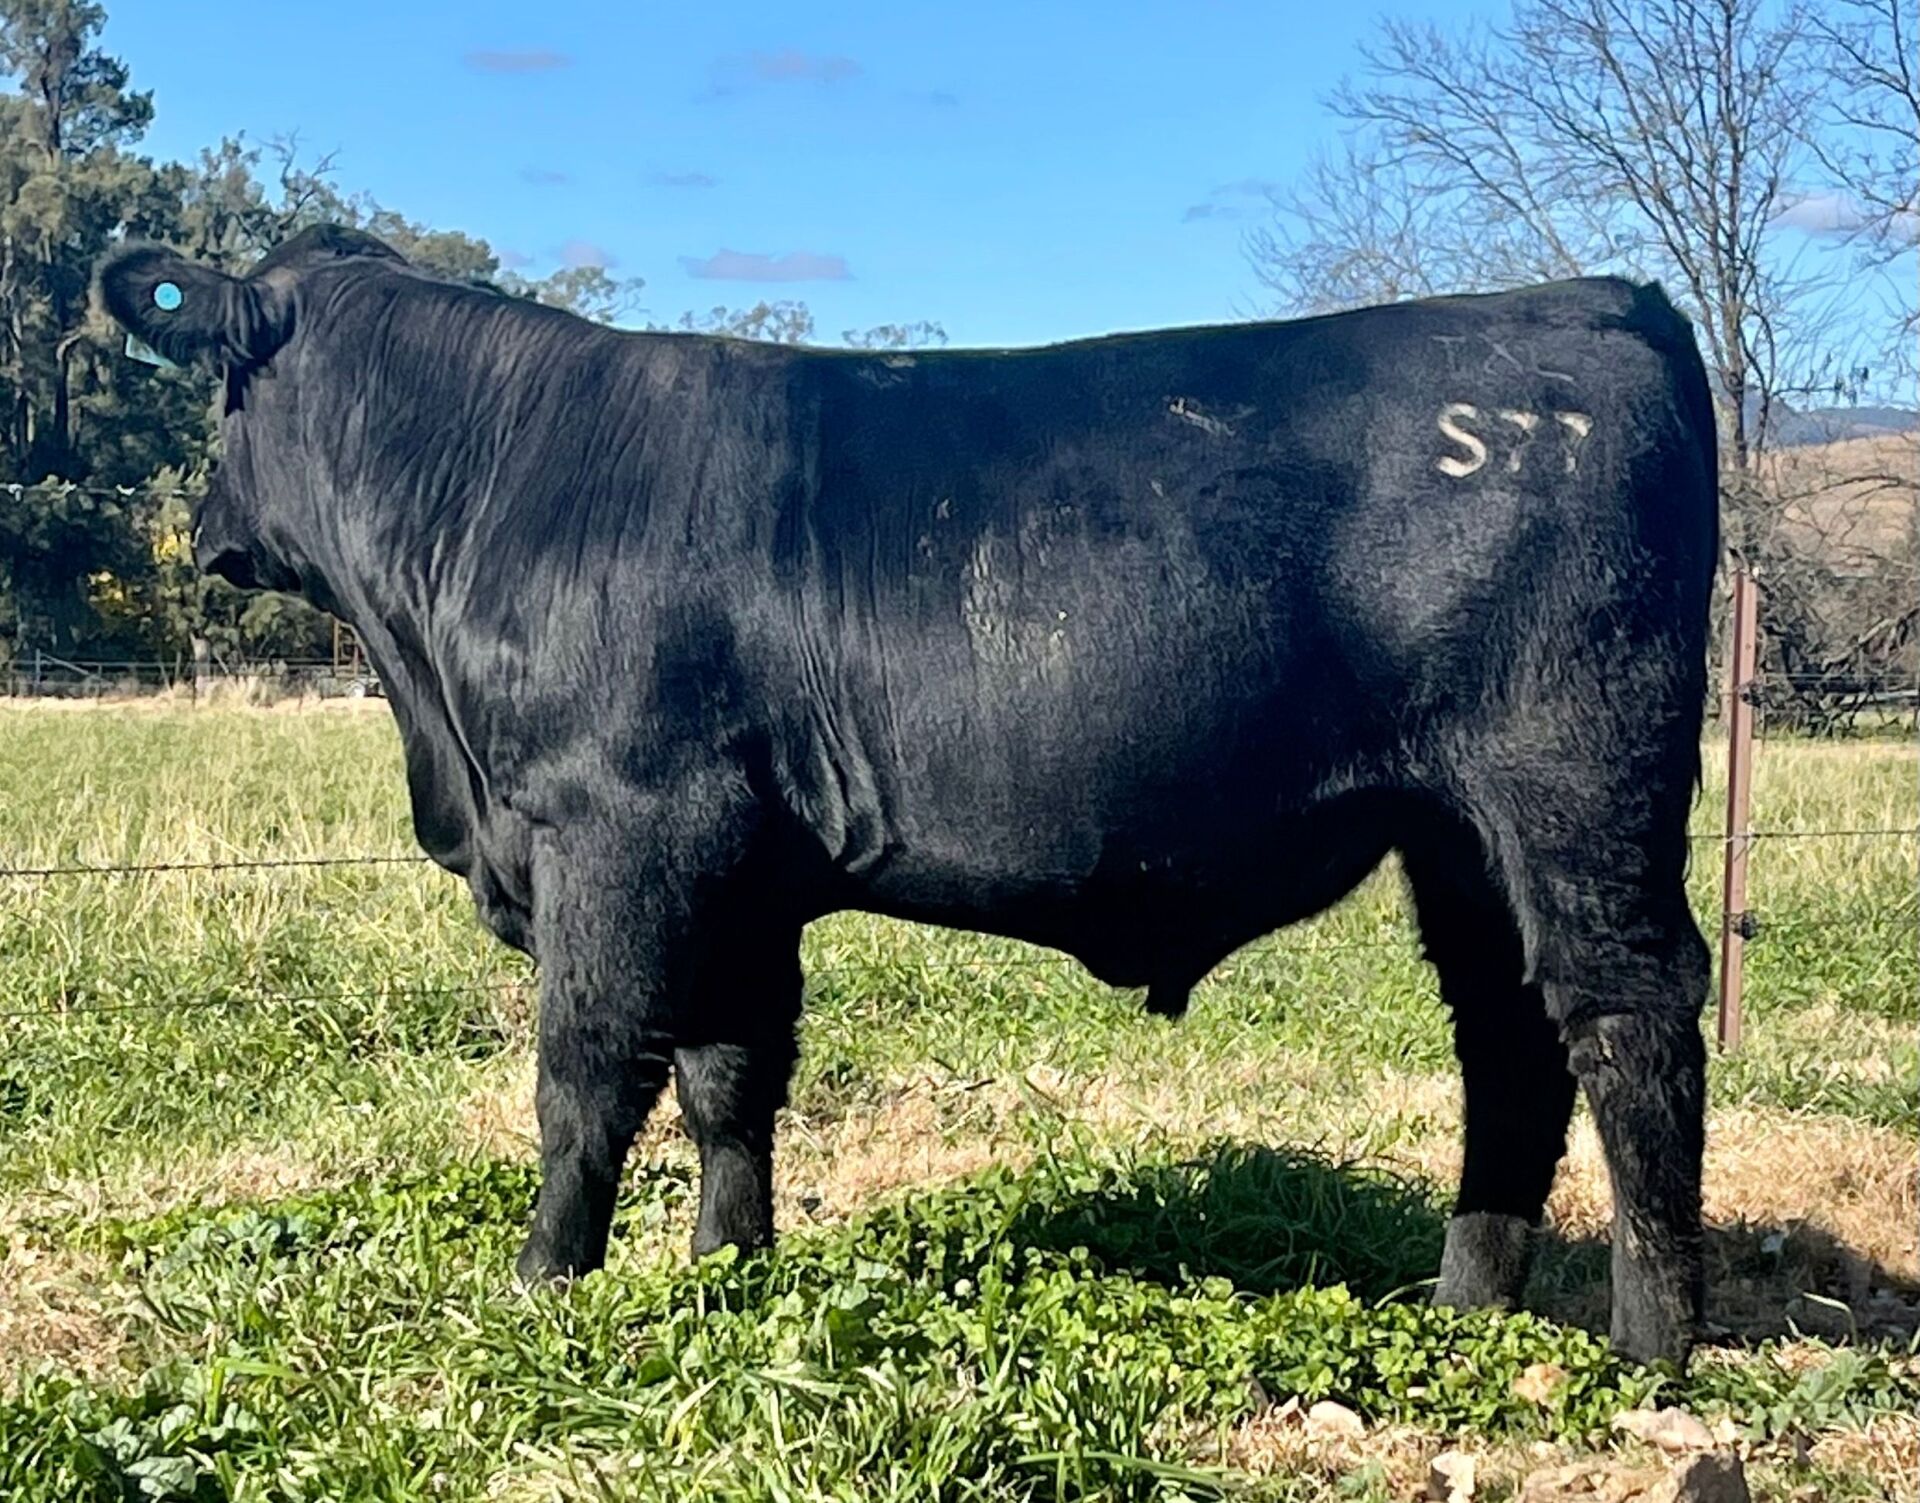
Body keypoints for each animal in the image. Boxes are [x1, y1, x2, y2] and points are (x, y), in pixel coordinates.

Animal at [99, 225, 1718, 1365]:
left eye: (223, 394)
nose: (207, 528)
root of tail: (1597, 299)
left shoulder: (616, 830)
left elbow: (585, 1069)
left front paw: (545, 1280)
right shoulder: (738, 873)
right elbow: (730, 1076)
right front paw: (726, 1271)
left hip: (1575, 790)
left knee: (1629, 1019)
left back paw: (1652, 1345)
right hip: (1457, 837)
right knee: (1510, 1039)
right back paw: (1466, 1306)